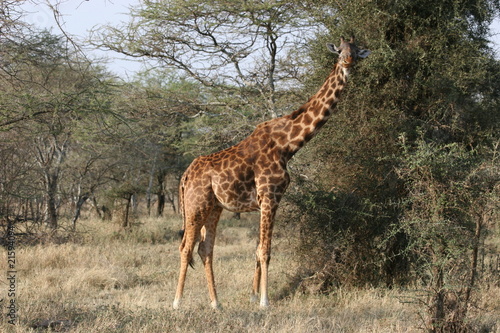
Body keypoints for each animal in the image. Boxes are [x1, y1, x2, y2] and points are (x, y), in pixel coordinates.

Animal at [174, 37, 370, 308]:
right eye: (339, 51)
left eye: (356, 51)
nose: (348, 61)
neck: (287, 145)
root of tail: (184, 177)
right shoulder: (270, 195)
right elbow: (265, 250)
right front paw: (265, 301)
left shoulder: (264, 201)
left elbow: (257, 249)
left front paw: (253, 296)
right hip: (196, 205)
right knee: (185, 247)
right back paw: (177, 303)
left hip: (214, 207)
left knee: (205, 248)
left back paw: (216, 303)